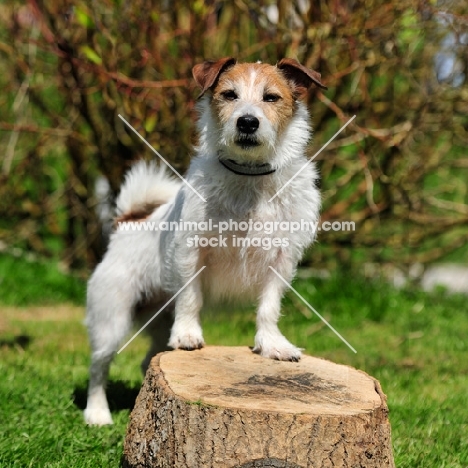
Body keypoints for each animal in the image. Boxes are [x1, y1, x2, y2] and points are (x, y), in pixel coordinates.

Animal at [84, 57, 326, 424]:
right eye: (229, 94)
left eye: (271, 97)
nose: (248, 121)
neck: (249, 178)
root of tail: (128, 222)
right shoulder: (190, 253)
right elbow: (190, 299)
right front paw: (188, 333)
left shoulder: (280, 261)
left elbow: (269, 308)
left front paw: (271, 345)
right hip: (111, 317)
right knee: (99, 366)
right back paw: (97, 413)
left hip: (154, 321)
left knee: (147, 359)